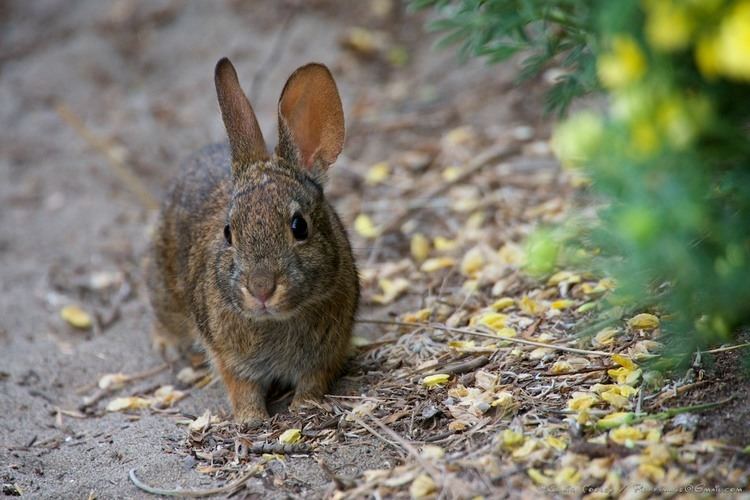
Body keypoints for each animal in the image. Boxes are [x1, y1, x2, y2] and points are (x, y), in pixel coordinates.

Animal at [146, 58, 362, 426]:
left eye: (299, 226)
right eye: (228, 232)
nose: (261, 289)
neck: (278, 319)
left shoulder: (328, 352)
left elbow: (314, 380)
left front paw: (304, 405)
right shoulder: (227, 356)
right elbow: (241, 387)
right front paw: (252, 419)